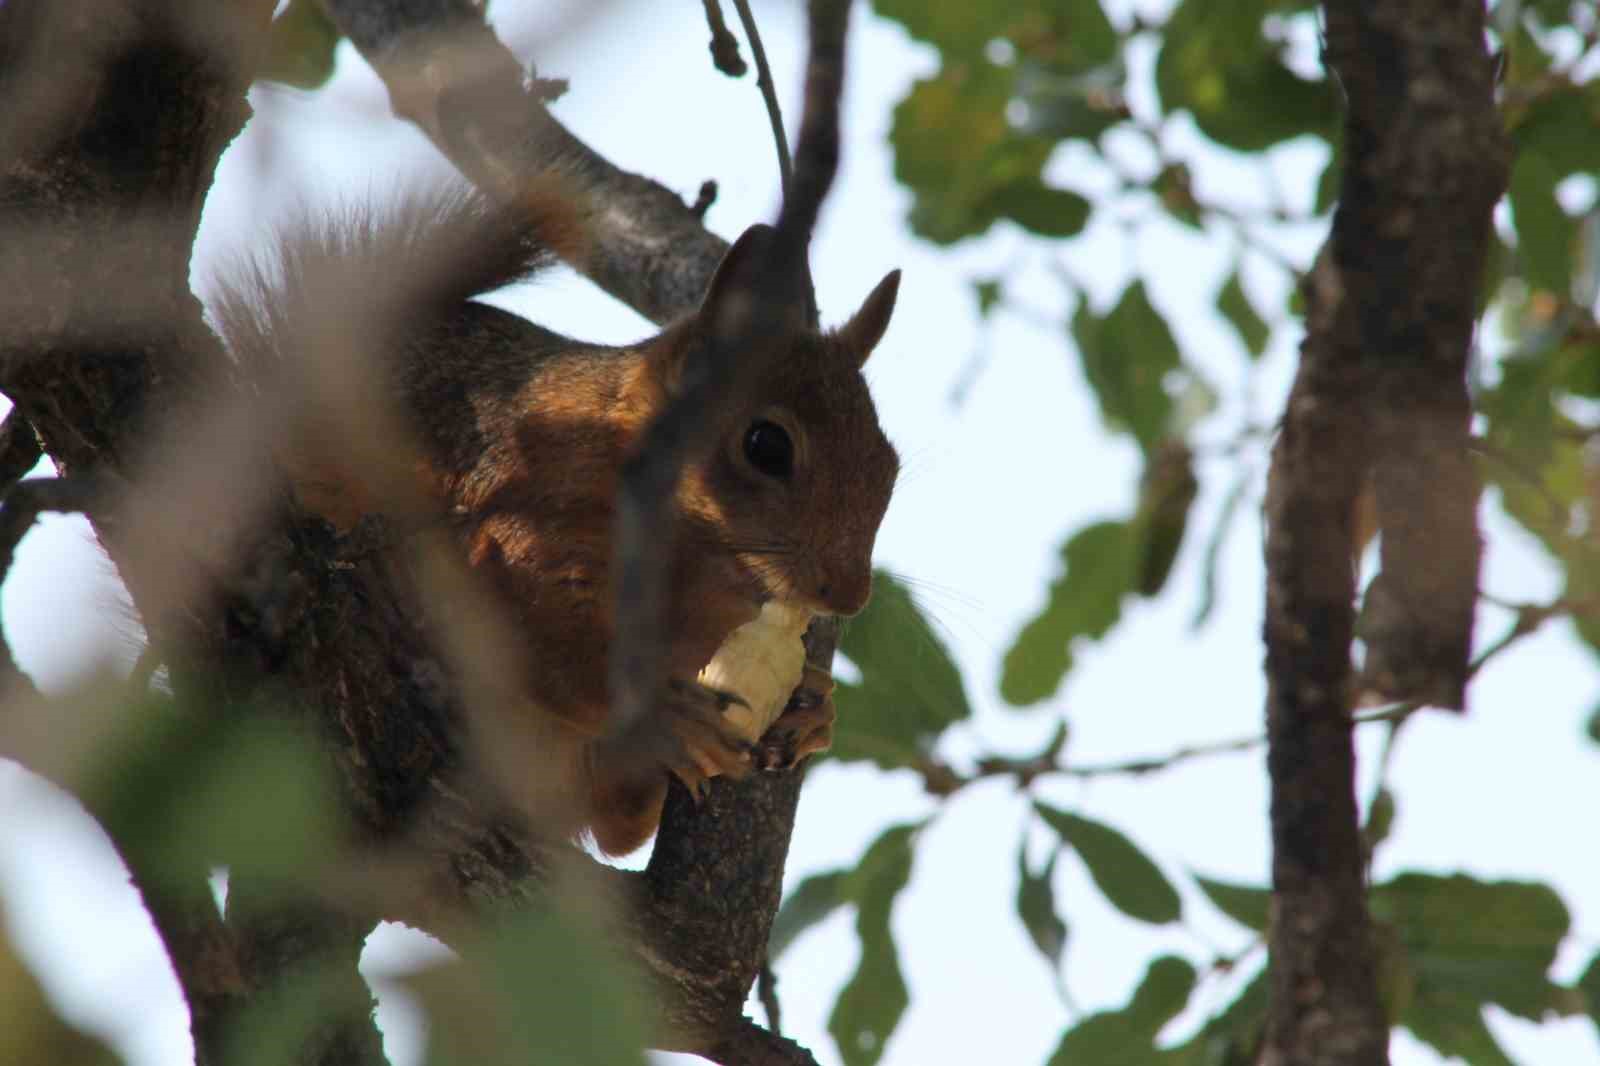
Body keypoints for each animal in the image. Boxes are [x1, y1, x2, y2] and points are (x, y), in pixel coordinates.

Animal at [216, 180, 902, 845]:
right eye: (767, 446)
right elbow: (536, 642)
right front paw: (656, 716)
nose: (848, 596)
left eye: (889, 466)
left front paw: (814, 708)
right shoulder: (519, 509)